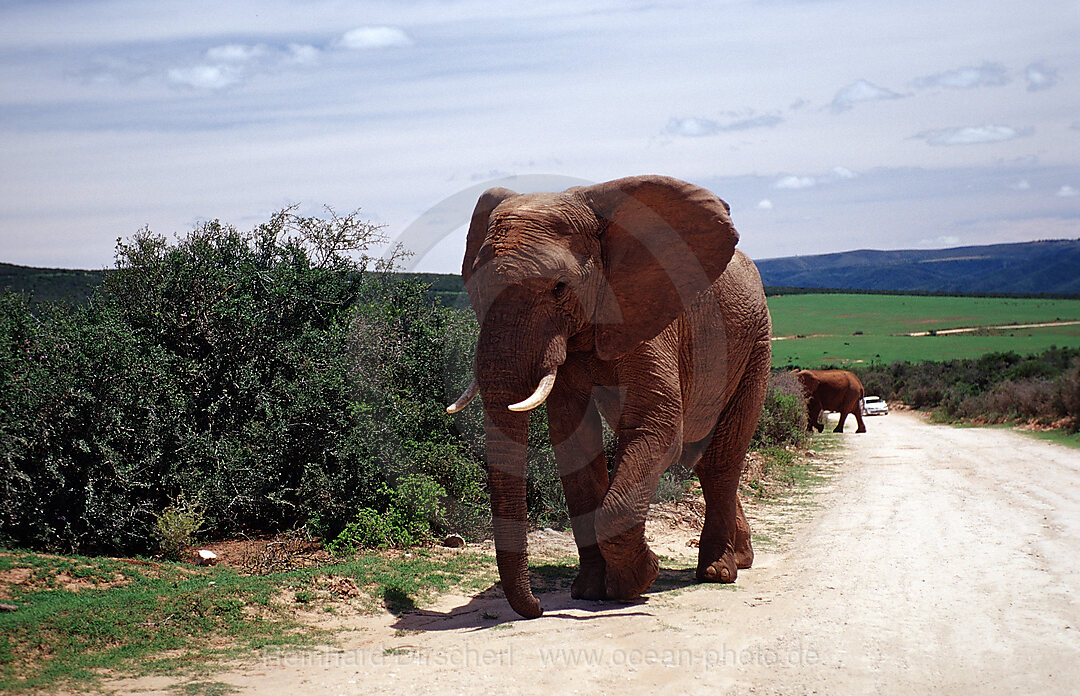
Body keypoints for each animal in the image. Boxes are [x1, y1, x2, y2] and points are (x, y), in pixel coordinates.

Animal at [442, 175, 773, 618]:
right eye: (474, 289)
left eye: (560, 288)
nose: (538, 607)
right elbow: (573, 441)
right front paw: (591, 590)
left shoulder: (650, 313)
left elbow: (656, 427)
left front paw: (640, 578)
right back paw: (742, 558)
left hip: (756, 343)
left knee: (722, 459)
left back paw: (719, 571)